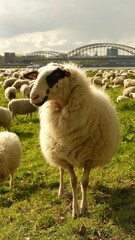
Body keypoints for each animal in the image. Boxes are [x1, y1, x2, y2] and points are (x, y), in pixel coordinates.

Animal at [25, 62, 120, 218]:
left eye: (56, 74)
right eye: (37, 74)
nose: (33, 96)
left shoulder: (90, 158)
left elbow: (84, 182)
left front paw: (84, 207)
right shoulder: (66, 158)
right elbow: (73, 181)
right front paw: (75, 210)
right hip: (57, 153)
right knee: (61, 171)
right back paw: (60, 191)